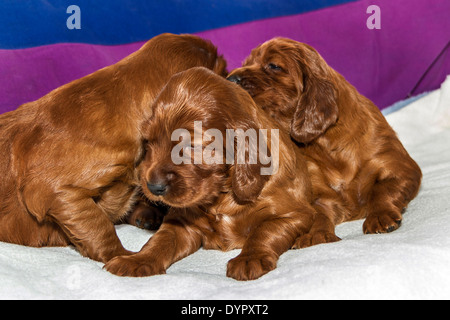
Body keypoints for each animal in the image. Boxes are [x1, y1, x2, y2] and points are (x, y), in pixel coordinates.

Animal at [105, 67, 316, 280]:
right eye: (149, 141)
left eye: (192, 146)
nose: (154, 187)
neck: (223, 194)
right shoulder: (182, 221)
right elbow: (161, 240)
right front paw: (137, 260)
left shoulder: (295, 214)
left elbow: (264, 231)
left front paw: (249, 258)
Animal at [229, 37, 422, 248]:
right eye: (246, 63)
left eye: (273, 65)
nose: (230, 79)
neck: (326, 144)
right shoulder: (318, 194)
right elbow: (318, 213)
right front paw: (316, 235)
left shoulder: (401, 168)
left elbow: (382, 189)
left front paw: (380, 216)